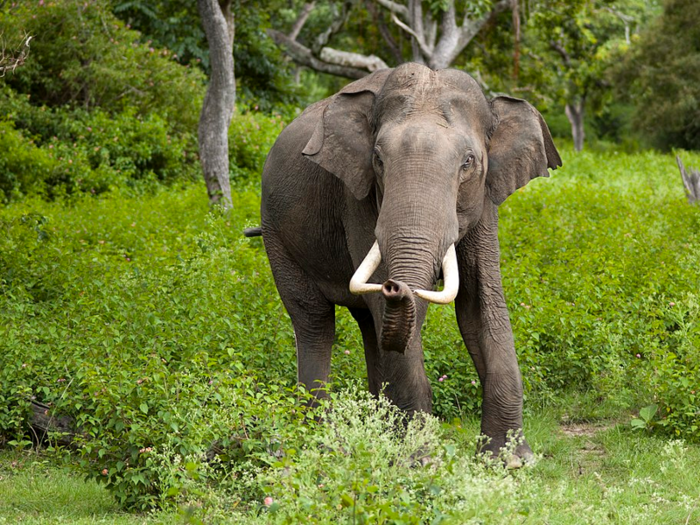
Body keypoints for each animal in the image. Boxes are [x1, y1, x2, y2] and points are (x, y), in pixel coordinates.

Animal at [254, 62, 560, 462]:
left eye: (468, 162)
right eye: (378, 159)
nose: (394, 285)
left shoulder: (485, 199)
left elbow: (481, 304)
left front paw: (510, 461)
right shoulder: (358, 197)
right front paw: (420, 460)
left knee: (369, 325)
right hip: (275, 232)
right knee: (315, 321)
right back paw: (321, 441)